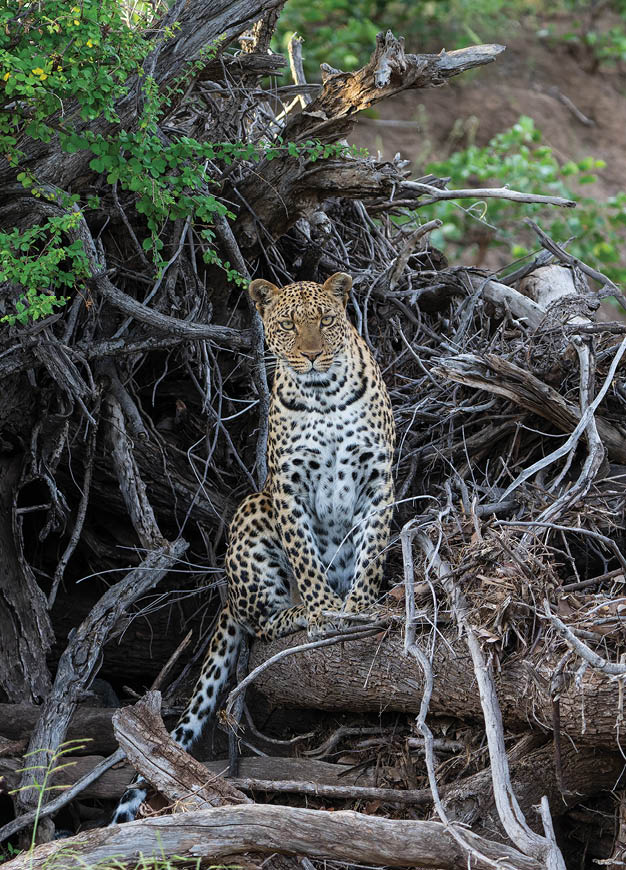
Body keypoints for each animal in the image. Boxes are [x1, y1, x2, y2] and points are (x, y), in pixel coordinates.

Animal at [112, 272, 395, 823]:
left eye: (325, 321)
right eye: (287, 325)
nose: (311, 355)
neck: (324, 395)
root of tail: (226, 594)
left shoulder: (378, 480)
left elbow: (371, 550)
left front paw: (361, 605)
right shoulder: (286, 488)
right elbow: (305, 557)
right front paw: (324, 611)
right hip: (252, 512)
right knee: (260, 621)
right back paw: (295, 613)